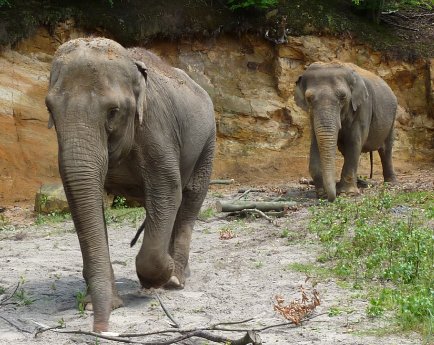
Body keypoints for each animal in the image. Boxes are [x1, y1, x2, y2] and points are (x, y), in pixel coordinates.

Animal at [45, 38, 215, 330]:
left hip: (208, 141)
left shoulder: (157, 130)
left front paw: (155, 279)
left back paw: (176, 278)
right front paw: (98, 302)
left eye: (113, 111)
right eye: (49, 109)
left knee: (190, 197)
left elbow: (167, 190)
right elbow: (83, 199)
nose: (100, 326)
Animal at [294, 60, 396, 200]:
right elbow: (315, 142)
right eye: (308, 98)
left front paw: (347, 193)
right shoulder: (312, 115)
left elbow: (354, 141)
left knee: (386, 149)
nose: (331, 197)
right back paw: (362, 183)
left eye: (343, 97)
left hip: (392, 118)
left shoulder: (364, 106)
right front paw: (321, 193)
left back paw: (390, 183)